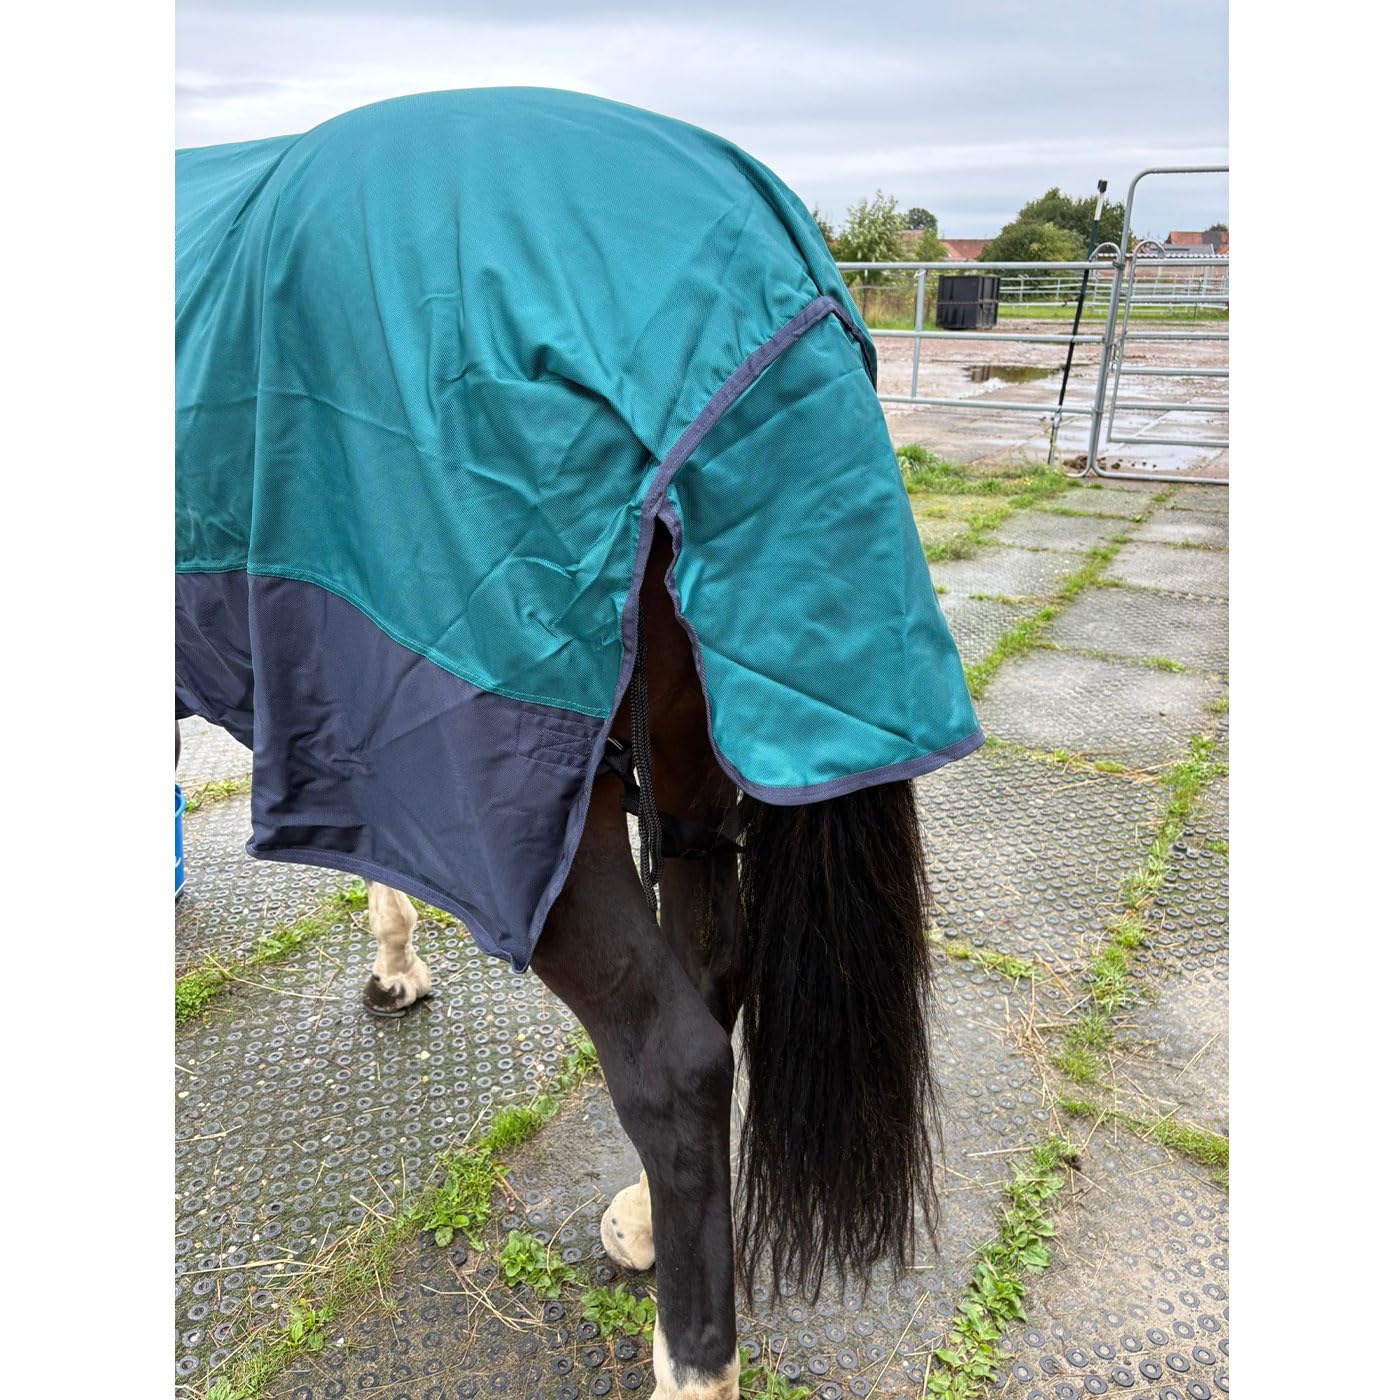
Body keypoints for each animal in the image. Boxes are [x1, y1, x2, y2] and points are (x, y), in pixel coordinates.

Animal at [176, 88, 980, 1400]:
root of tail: (778, 272)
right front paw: (396, 969)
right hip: (682, 753)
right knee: (714, 980)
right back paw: (645, 1223)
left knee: (670, 1059)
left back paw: (691, 1355)